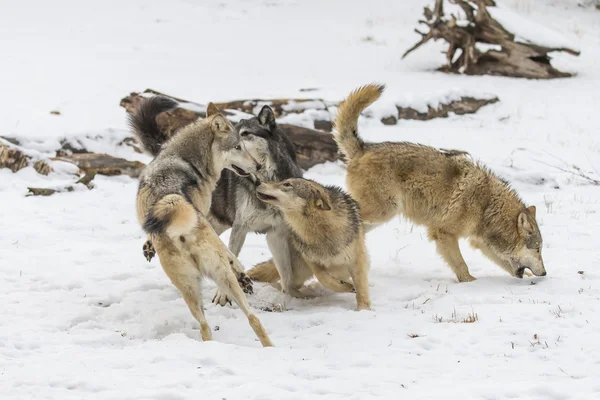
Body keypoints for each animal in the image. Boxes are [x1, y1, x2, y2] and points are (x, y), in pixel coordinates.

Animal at [132, 97, 274, 346]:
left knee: (212, 324)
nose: (257, 166)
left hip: (194, 286)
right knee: (249, 319)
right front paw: (243, 273)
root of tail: (182, 234)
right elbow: (231, 253)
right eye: (238, 147)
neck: (186, 159)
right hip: (211, 281)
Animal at [245, 179, 368, 312]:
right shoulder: (310, 259)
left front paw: (364, 309)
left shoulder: (356, 260)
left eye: (287, 184)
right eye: (284, 181)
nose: (257, 183)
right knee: (287, 287)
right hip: (293, 267)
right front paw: (344, 287)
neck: (320, 231)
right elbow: (323, 278)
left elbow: (361, 287)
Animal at [332, 83, 548, 282]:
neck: (486, 206)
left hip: (381, 217)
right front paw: (470, 283)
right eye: (537, 249)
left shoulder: (479, 241)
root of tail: (362, 149)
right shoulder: (444, 233)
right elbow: (461, 264)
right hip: (384, 211)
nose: (545, 273)